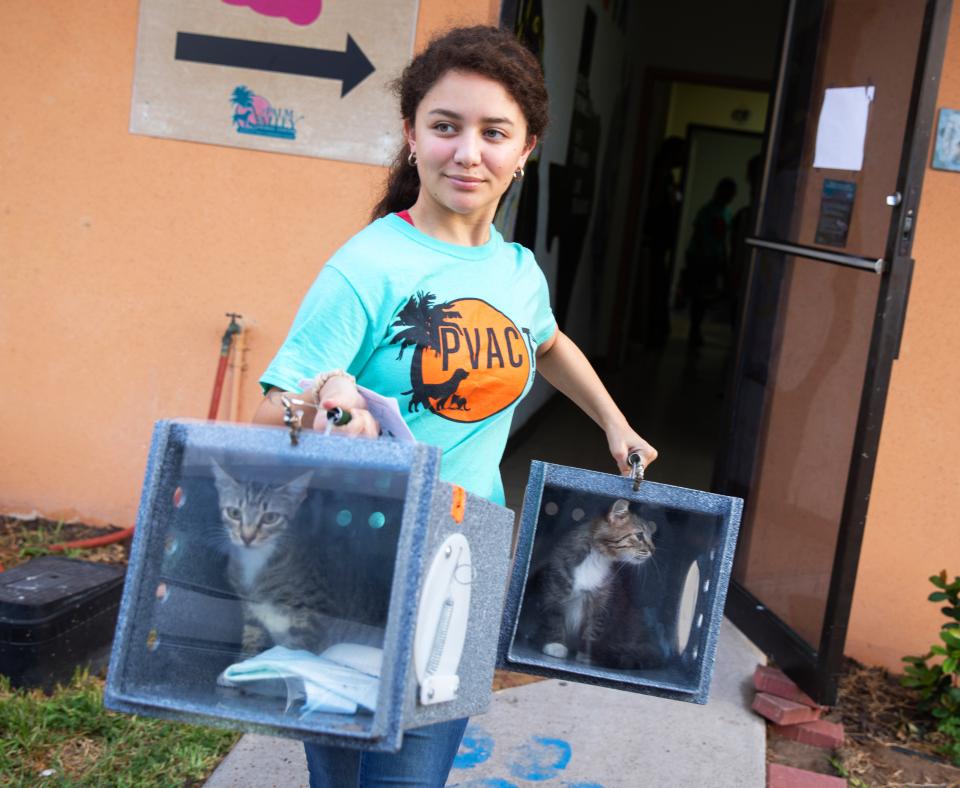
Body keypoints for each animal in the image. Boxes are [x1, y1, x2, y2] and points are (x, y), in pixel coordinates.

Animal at [210, 458, 378, 656]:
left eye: (270, 517)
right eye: (234, 513)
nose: (247, 537)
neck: (257, 561)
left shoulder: (314, 612)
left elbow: (293, 649)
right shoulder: (250, 610)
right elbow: (252, 641)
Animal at [536, 498, 656, 664]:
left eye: (650, 537)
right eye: (639, 536)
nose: (653, 550)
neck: (597, 558)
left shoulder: (601, 602)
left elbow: (592, 630)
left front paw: (585, 654)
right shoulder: (555, 590)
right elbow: (554, 619)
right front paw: (555, 645)